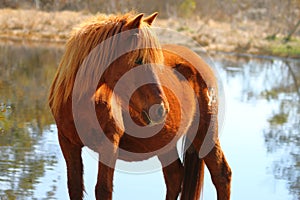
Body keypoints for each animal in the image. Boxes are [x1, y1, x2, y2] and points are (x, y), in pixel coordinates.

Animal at [48, 12, 232, 200]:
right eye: (137, 60)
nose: (161, 109)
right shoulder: (68, 143)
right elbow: (75, 187)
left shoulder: (109, 145)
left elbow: (103, 189)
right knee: (175, 176)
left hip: (206, 131)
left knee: (221, 173)